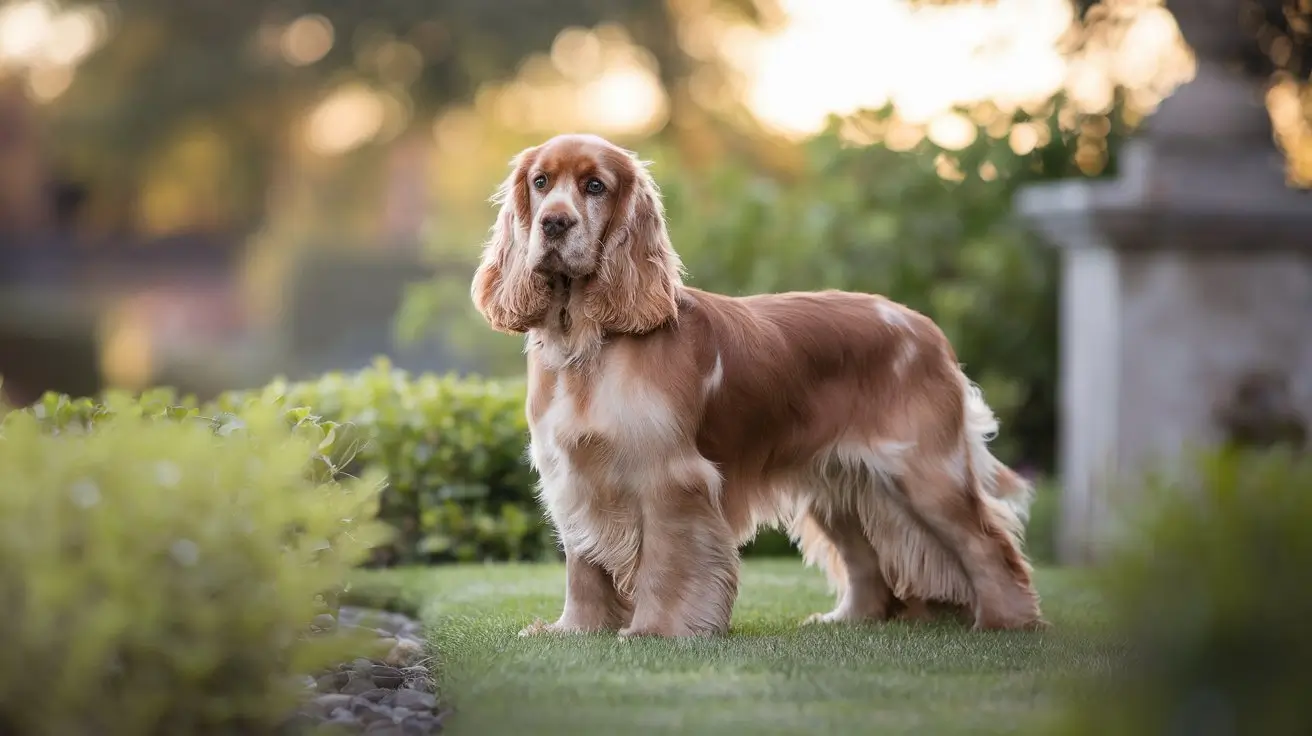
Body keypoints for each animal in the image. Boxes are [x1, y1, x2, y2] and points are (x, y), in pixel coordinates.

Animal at [472, 131, 1044, 637]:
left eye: (595, 186)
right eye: (541, 182)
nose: (554, 223)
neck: (588, 342)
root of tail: (929, 332)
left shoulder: (670, 478)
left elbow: (665, 563)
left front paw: (656, 630)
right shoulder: (574, 473)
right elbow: (584, 566)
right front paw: (576, 630)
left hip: (926, 473)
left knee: (988, 545)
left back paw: (1007, 621)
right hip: (841, 481)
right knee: (865, 560)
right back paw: (847, 620)